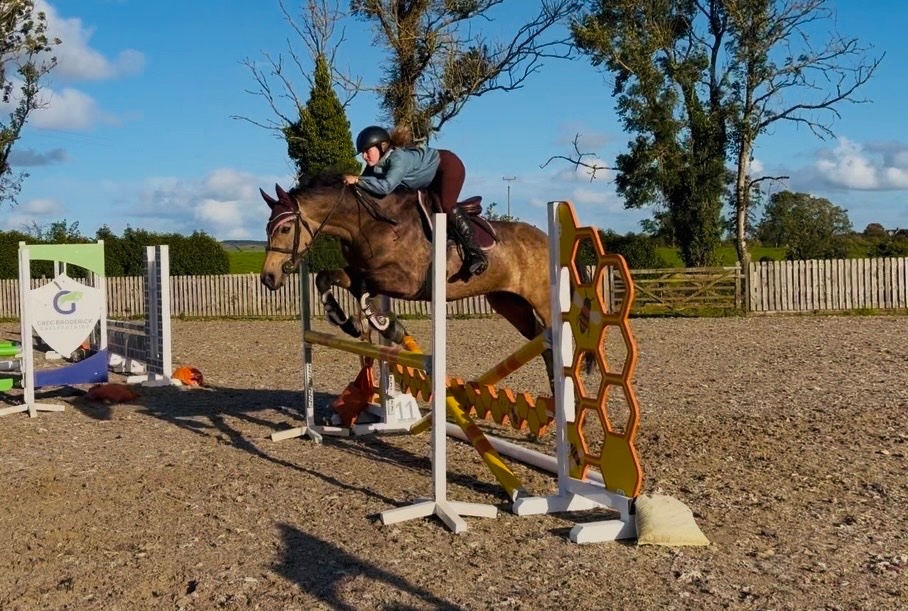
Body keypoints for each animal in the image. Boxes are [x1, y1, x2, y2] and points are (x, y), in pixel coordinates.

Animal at [259, 173, 557, 386]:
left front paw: (385, 325)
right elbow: (326, 278)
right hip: (510, 304)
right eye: (267, 228)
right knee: (544, 346)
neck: (371, 223)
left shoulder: (406, 283)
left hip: (542, 303)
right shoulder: (357, 271)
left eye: (285, 228)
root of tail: (545, 238)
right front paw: (345, 320)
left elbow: (364, 290)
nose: (268, 278)